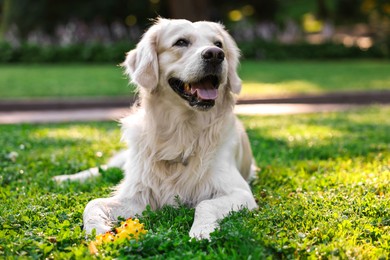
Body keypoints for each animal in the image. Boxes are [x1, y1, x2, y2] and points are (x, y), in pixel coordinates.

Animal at [54, 17, 256, 239]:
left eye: (219, 44)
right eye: (181, 42)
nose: (215, 55)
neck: (182, 130)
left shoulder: (241, 192)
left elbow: (204, 204)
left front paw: (202, 231)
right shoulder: (139, 195)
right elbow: (92, 203)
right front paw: (97, 230)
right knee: (104, 168)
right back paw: (65, 178)